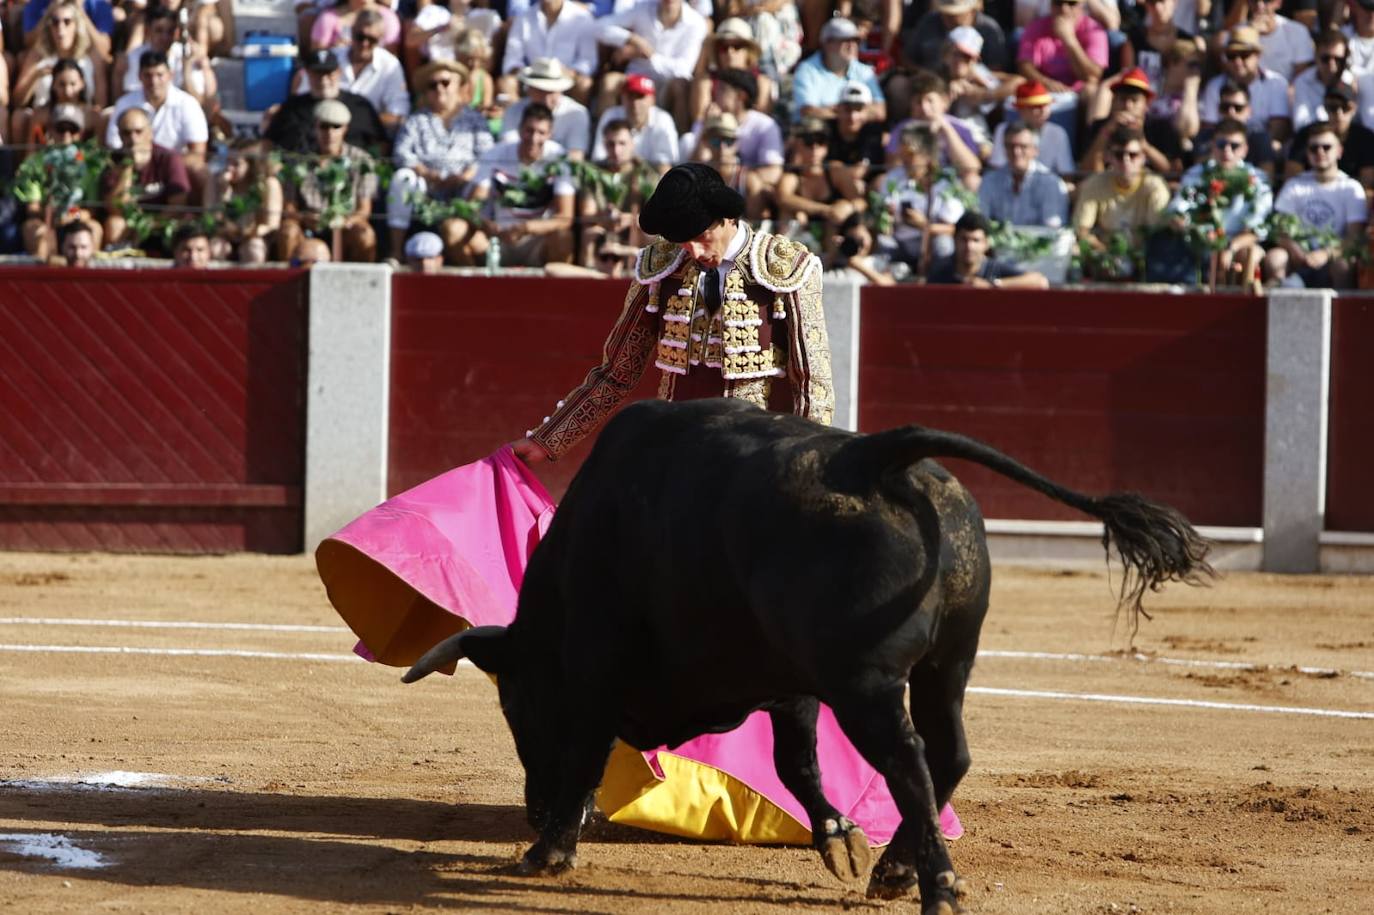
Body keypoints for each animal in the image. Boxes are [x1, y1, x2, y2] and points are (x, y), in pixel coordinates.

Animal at [401, 398, 1209, 912]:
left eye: (517, 703)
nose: (532, 812)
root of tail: (872, 456)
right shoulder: (790, 684)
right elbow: (797, 765)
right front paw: (839, 840)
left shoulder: (597, 668)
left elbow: (586, 753)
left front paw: (550, 852)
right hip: (948, 663)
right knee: (947, 752)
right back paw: (893, 869)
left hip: (865, 683)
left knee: (910, 761)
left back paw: (937, 888)